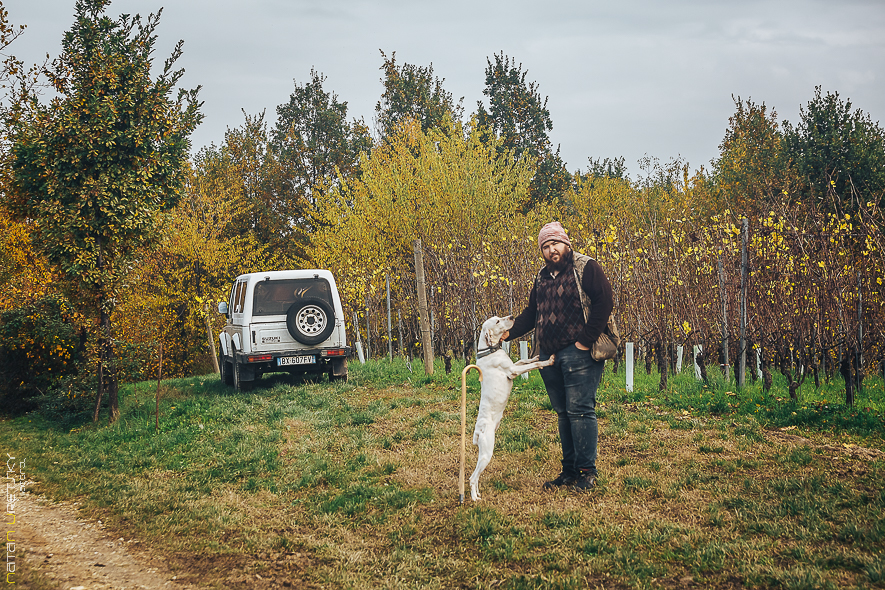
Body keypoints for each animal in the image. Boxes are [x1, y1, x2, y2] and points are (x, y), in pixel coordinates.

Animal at [470, 316, 552, 502]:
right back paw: (474, 498)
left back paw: (478, 494)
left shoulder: (515, 364)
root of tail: (478, 430)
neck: (489, 351)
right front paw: (548, 360)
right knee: (472, 477)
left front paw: (536, 355)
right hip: (487, 453)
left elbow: (527, 360)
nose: (512, 317)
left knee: (476, 478)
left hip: (483, 454)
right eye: (497, 322)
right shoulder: (513, 370)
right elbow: (535, 364)